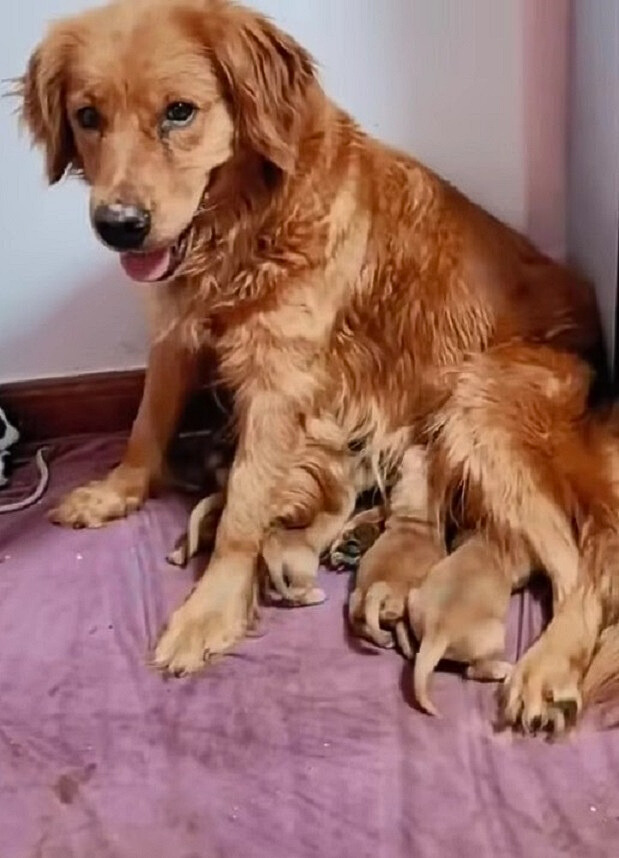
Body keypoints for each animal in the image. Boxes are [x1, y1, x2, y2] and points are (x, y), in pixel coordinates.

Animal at [18, 0, 619, 728]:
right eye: (87, 116)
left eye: (180, 112)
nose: (119, 226)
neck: (242, 226)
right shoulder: (176, 328)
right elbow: (146, 423)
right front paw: (118, 490)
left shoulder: (278, 380)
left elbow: (243, 509)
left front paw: (209, 611)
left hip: (476, 405)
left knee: (582, 573)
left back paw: (546, 667)